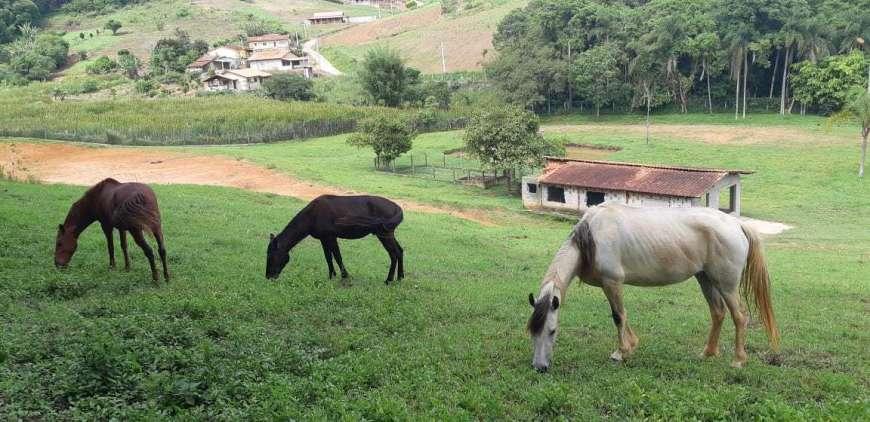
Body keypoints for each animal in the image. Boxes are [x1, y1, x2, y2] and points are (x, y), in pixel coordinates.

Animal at [266, 195, 406, 284]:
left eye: (271, 256)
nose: (268, 276)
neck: (311, 216)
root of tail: (397, 208)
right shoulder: (323, 239)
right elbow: (328, 258)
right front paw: (331, 276)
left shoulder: (331, 237)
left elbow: (338, 257)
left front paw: (345, 276)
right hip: (388, 234)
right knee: (400, 251)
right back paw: (400, 277)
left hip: (384, 234)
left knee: (394, 254)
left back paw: (389, 280)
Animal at [528, 203, 780, 370]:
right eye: (532, 332)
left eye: (552, 330)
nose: (539, 367)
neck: (593, 237)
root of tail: (737, 224)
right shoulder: (610, 285)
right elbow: (622, 315)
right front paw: (630, 346)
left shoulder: (612, 282)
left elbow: (618, 316)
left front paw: (621, 352)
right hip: (706, 280)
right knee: (718, 313)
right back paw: (707, 353)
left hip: (726, 285)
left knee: (739, 317)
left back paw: (738, 360)